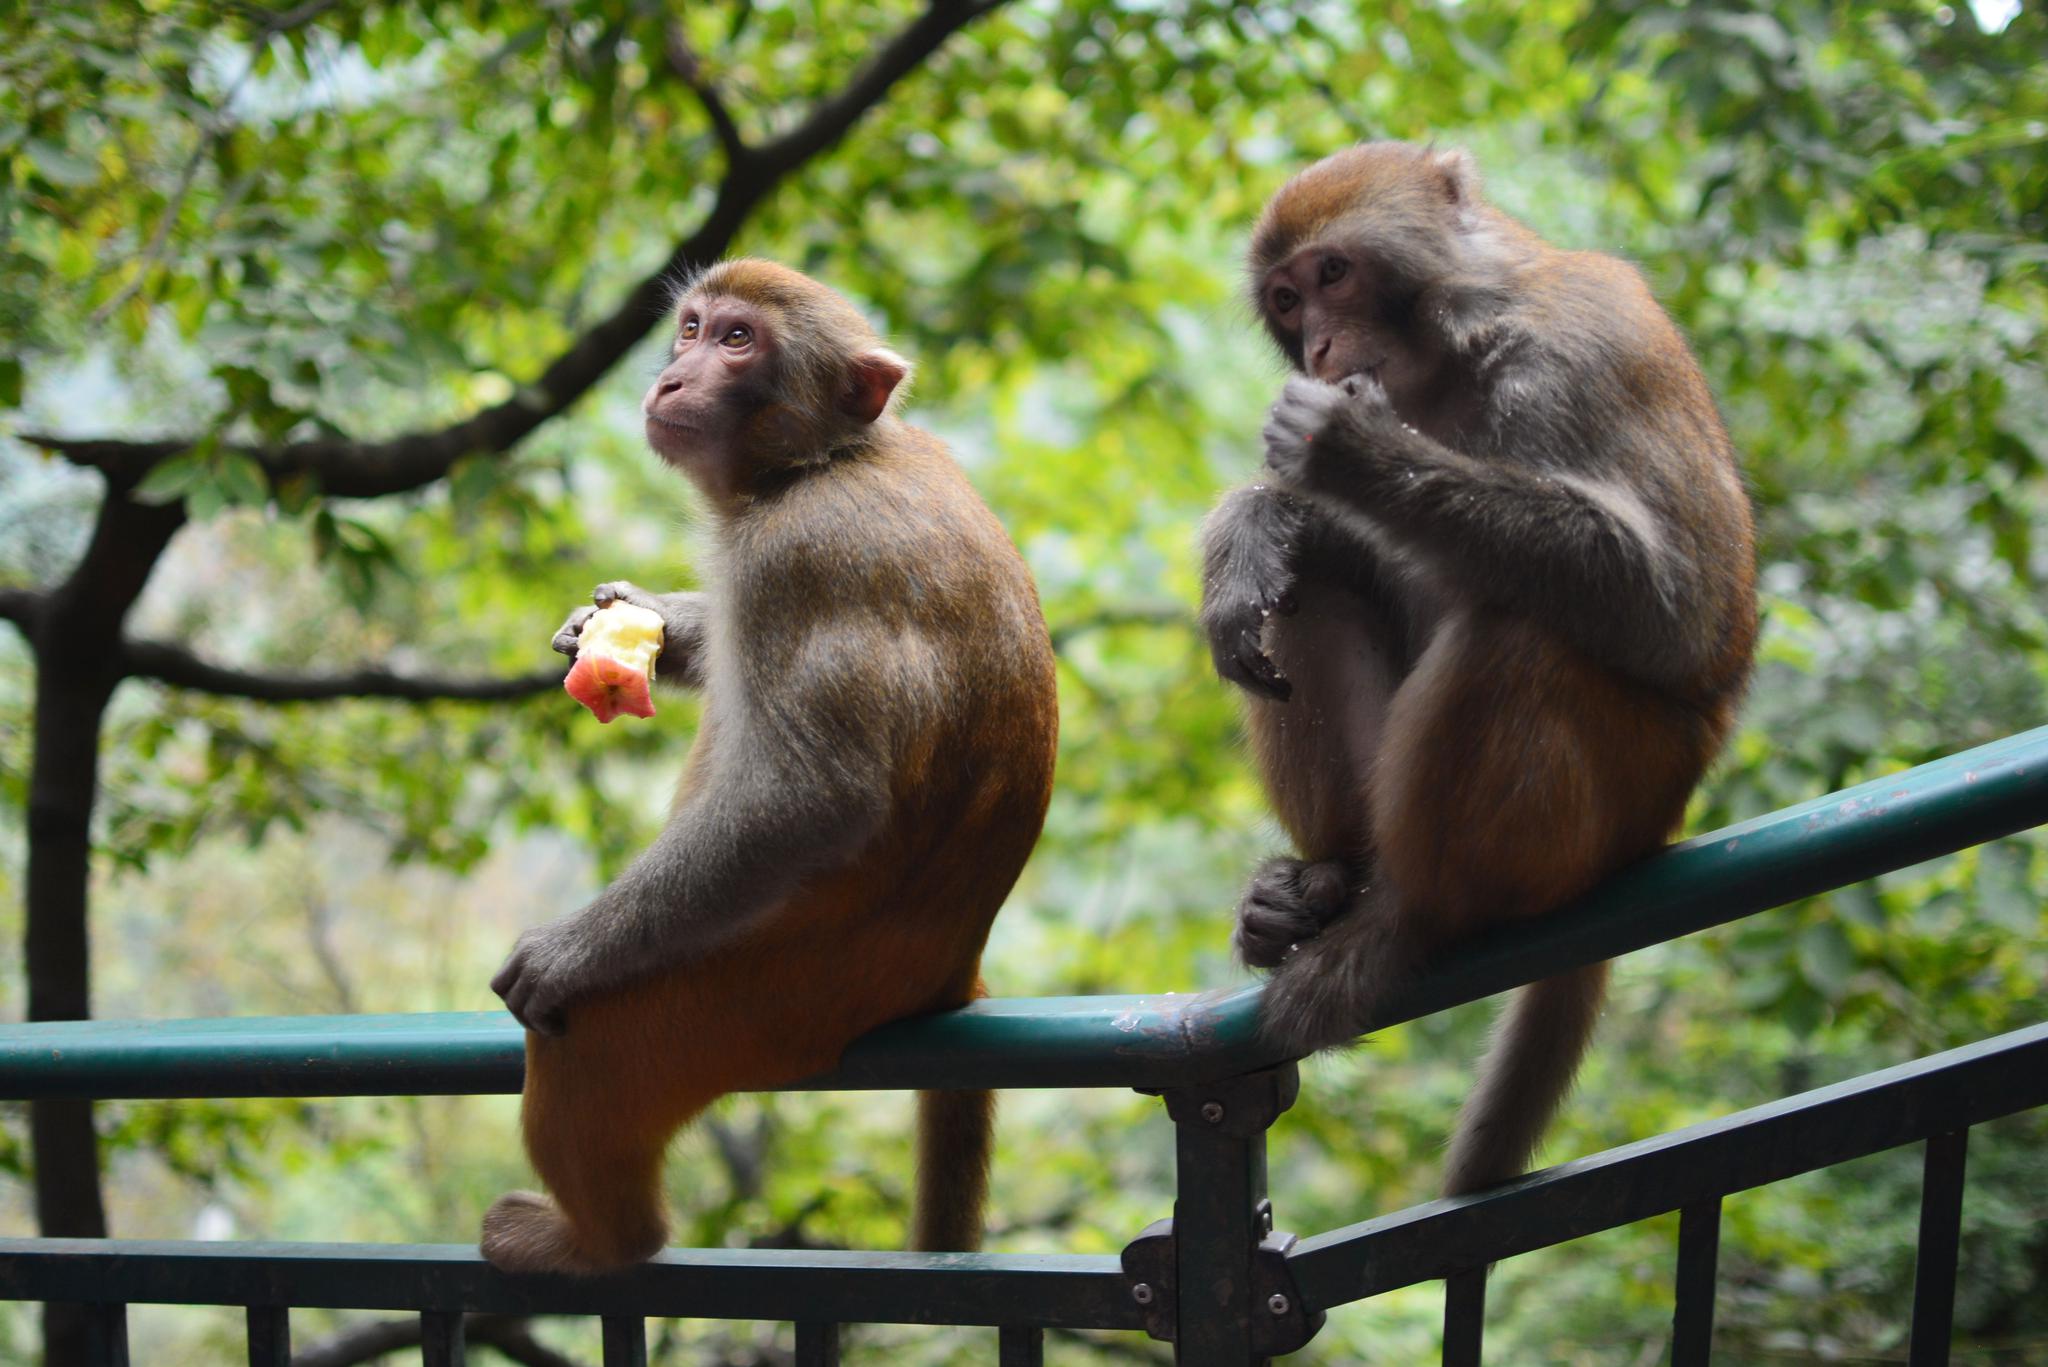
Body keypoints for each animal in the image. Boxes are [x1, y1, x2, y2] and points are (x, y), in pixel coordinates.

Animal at [479, 262, 1056, 1278]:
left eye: (739, 342)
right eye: (693, 328)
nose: (673, 377)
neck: (822, 463)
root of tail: (953, 973)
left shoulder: (801, 556)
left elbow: (815, 799)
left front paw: (566, 950)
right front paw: (623, 617)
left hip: (753, 1004)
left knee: (591, 1057)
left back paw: (600, 1238)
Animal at [1196, 141, 1761, 1196]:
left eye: (1335, 274)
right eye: (1287, 301)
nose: (1322, 350)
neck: (1457, 349)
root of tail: (1660, 826)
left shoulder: (1584, 348)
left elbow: (1675, 610)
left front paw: (1349, 449)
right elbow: (1316, 553)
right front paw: (1253, 525)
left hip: (1606, 807)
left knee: (1517, 624)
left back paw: (1410, 923)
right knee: (1315, 587)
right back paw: (1318, 887)